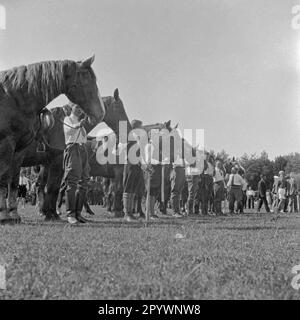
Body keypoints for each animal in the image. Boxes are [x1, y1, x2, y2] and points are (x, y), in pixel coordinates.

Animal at [0, 56, 106, 222]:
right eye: (88, 81)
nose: (100, 112)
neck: (13, 98)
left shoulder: (20, 150)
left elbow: (14, 182)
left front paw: (14, 213)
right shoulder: (7, 143)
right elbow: (5, 179)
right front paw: (4, 215)